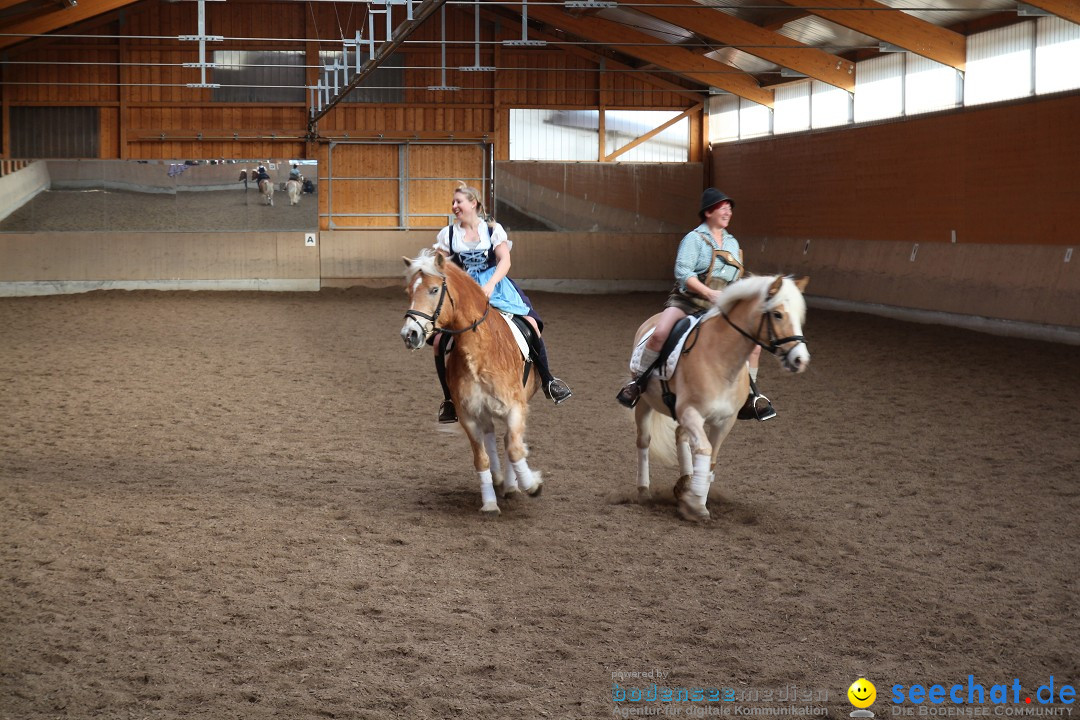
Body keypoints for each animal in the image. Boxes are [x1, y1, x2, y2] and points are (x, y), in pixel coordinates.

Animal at [401, 250, 544, 515]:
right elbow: (481, 458)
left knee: (509, 440)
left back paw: (512, 485)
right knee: (491, 435)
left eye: (434, 290)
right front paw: (489, 502)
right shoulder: (468, 413)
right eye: (409, 292)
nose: (409, 334)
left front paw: (532, 485)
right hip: (483, 411)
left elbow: (514, 448)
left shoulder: (516, 407)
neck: (480, 352)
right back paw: (499, 480)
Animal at [630, 273, 812, 520]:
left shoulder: (725, 421)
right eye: (777, 314)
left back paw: (685, 482)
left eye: (799, 316)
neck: (721, 361)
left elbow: (711, 460)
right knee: (644, 441)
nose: (800, 360)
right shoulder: (691, 413)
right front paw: (695, 506)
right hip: (644, 402)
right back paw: (644, 492)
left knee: (681, 437)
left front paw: (694, 498)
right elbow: (704, 450)